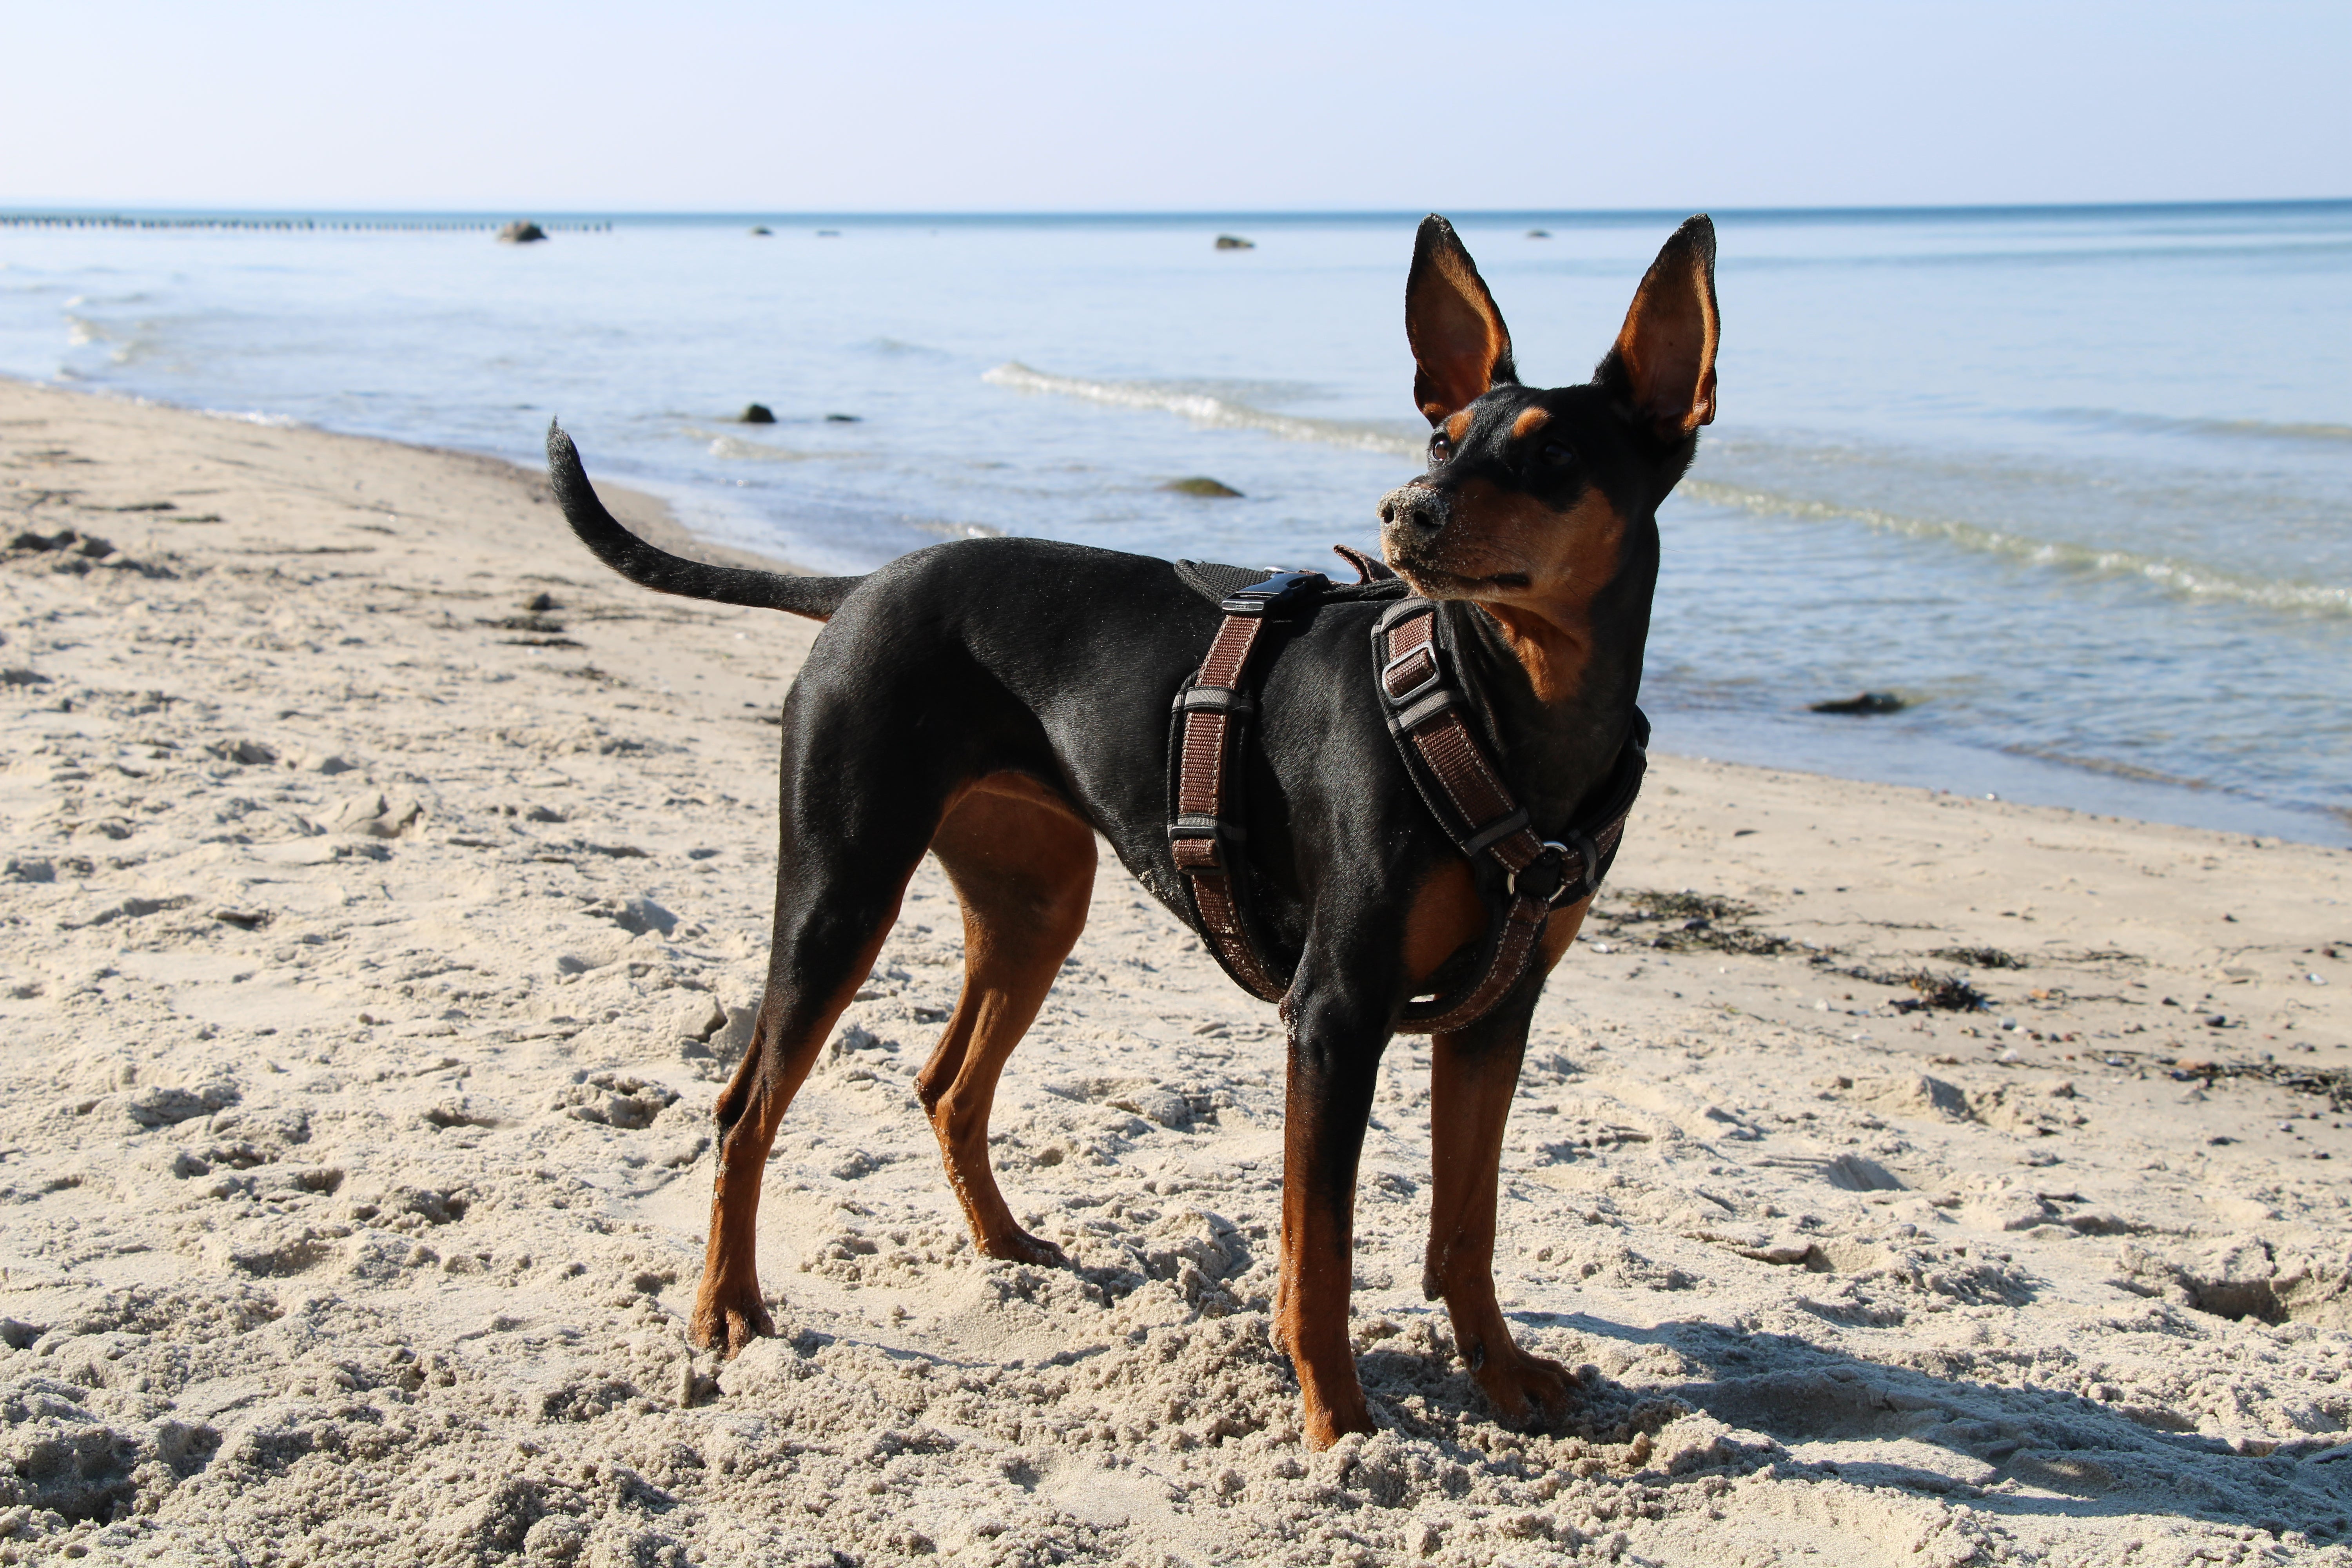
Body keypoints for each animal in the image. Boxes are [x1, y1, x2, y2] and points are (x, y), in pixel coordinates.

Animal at [543, 217, 1722, 1448]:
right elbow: (1322, 1250)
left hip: (1036, 903)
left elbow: (1468, 1224)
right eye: (1440, 439)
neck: (1505, 711)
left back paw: (1007, 1247)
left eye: (1553, 457)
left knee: (947, 1084)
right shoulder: (1334, 1011)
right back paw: (727, 1306)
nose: (1409, 508)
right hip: (842, 889)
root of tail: (863, 587)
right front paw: (1338, 1420)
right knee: (746, 1107)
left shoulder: (1499, 1013)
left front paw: (1499, 1371)